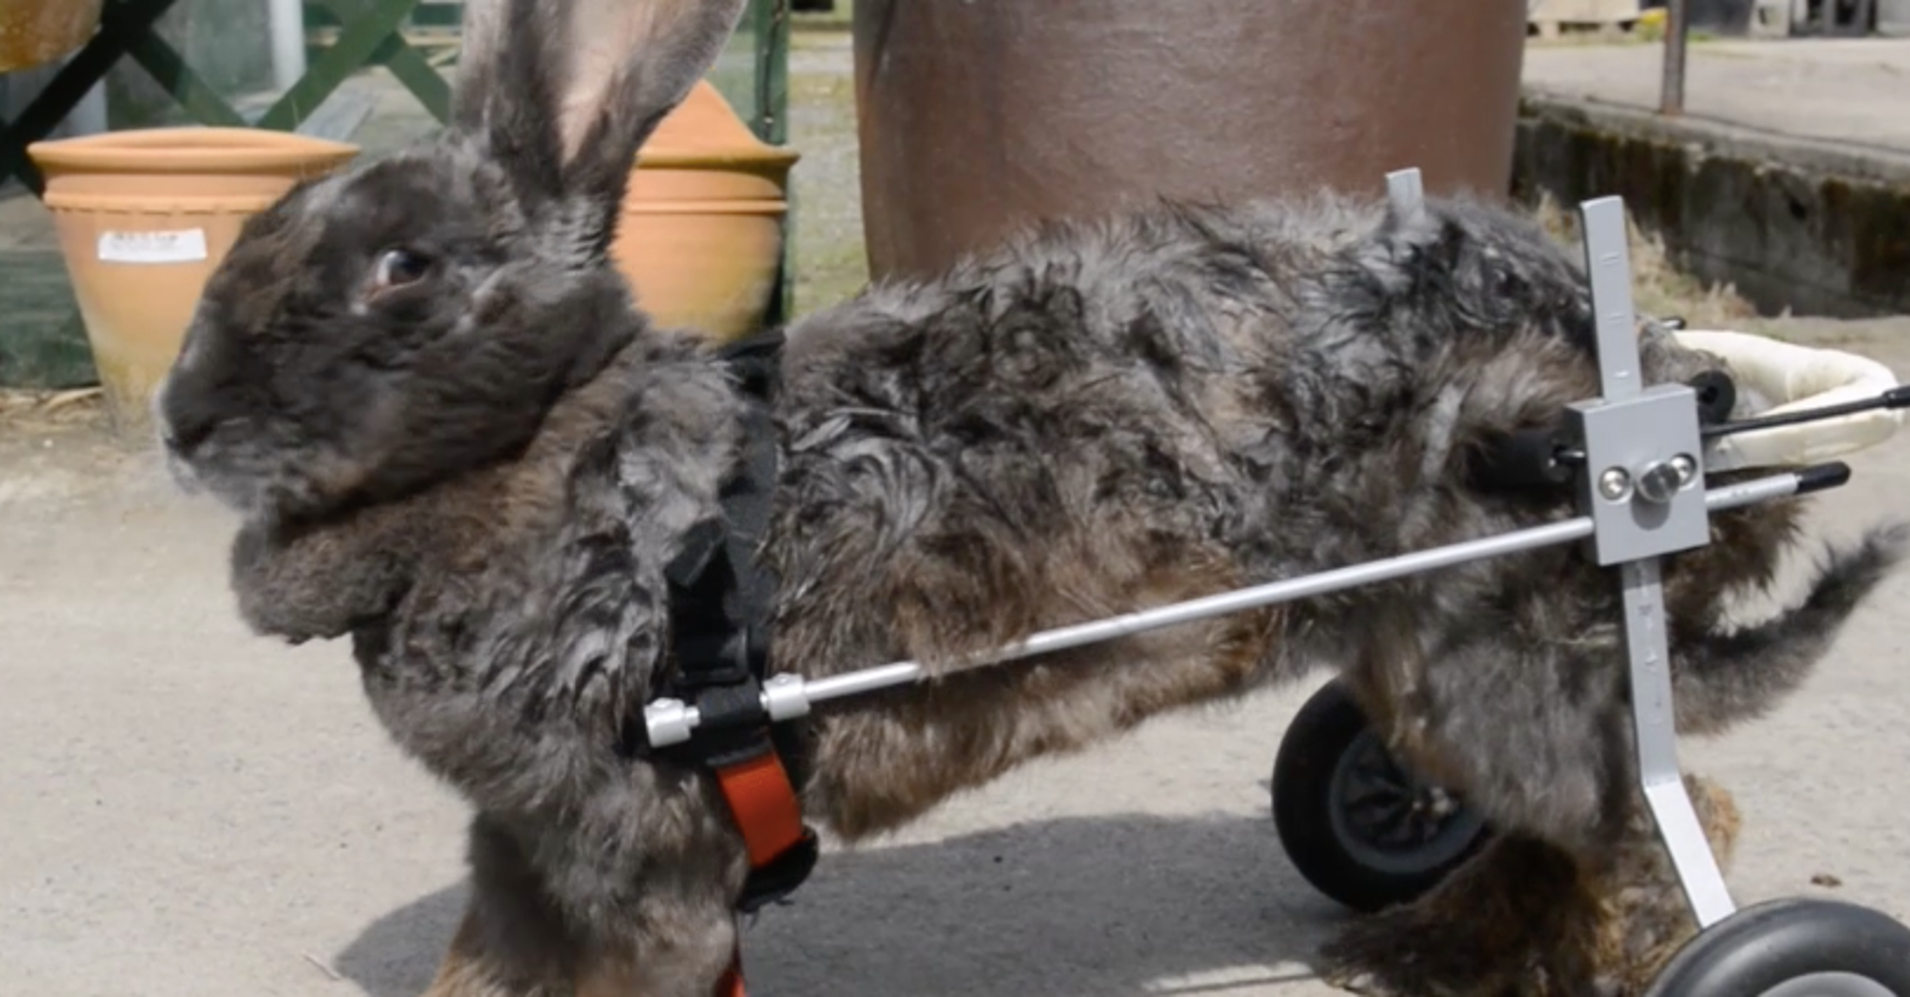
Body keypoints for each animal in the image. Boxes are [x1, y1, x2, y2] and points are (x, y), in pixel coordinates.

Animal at [150, 0, 1907, 993]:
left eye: (400, 271)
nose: (179, 419)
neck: (564, 460)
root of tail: (1653, 378)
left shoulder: (635, 868)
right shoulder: (533, 862)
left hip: (1501, 640)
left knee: (1652, 822)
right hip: (1419, 661)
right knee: (1538, 819)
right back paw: (1404, 953)